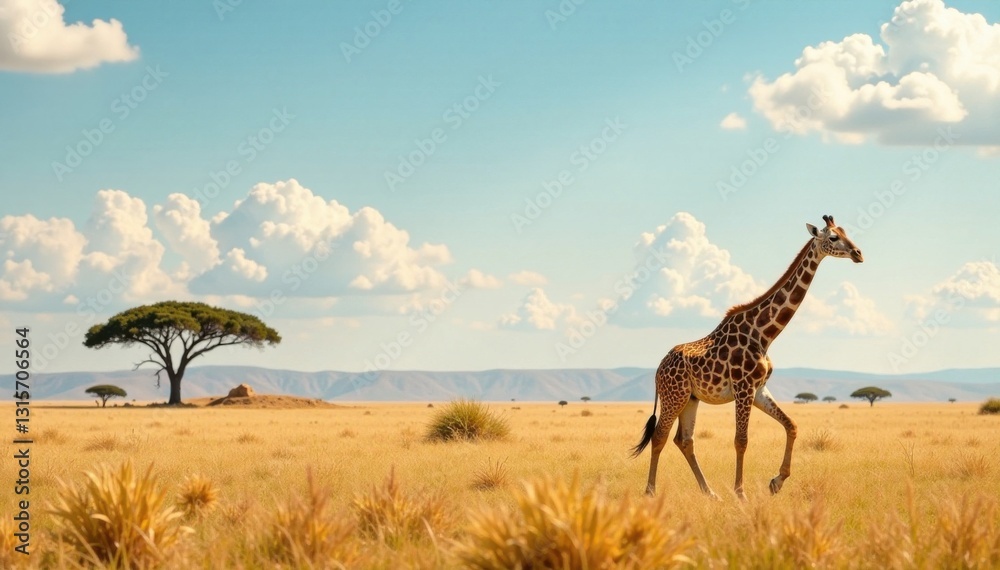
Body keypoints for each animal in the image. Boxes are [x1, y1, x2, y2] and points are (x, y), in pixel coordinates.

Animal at [632, 215, 863, 499]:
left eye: (845, 232)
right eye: (833, 237)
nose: (858, 253)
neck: (764, 335)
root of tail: (658, 370)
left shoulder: (759, 389)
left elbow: (792, 425)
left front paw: (777, 481)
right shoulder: (743, 388)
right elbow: (741, 440)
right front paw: (740, 493)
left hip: (691, 398)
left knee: (684, 440)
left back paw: (710, 492)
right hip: (674, 396)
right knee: (660, 436)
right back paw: (650, 492)